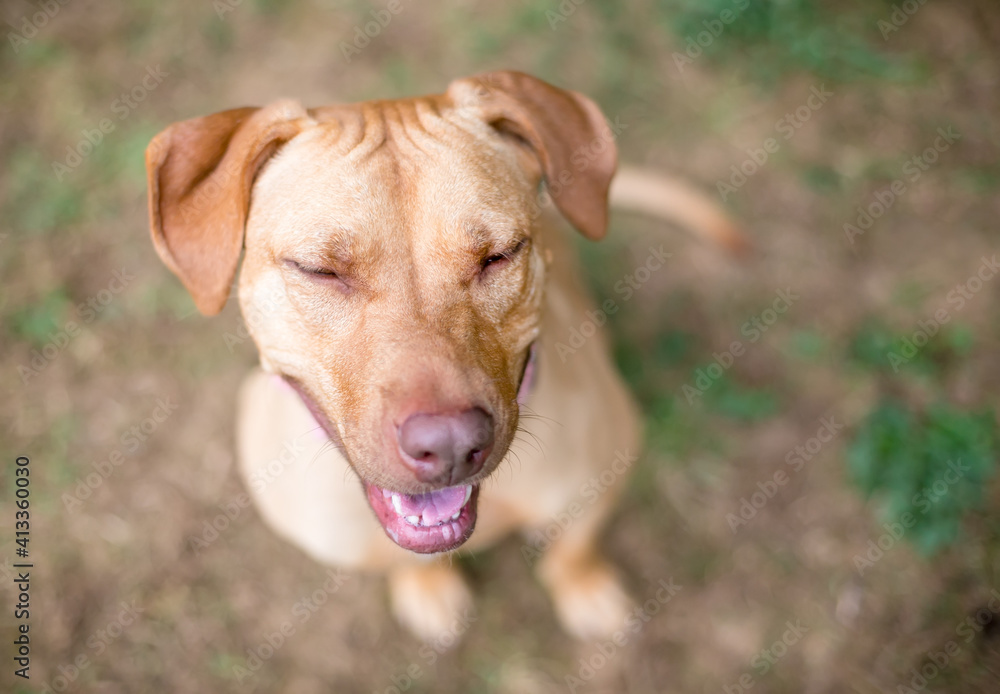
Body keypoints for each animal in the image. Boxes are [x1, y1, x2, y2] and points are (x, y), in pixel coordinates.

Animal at [146, 73, 744, 644]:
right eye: (320, 270)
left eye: (498, 255)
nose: (451, 444)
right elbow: (402, 561)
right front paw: (427, 589)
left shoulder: (600, 478)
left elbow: (572, 547)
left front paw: (584, 588)